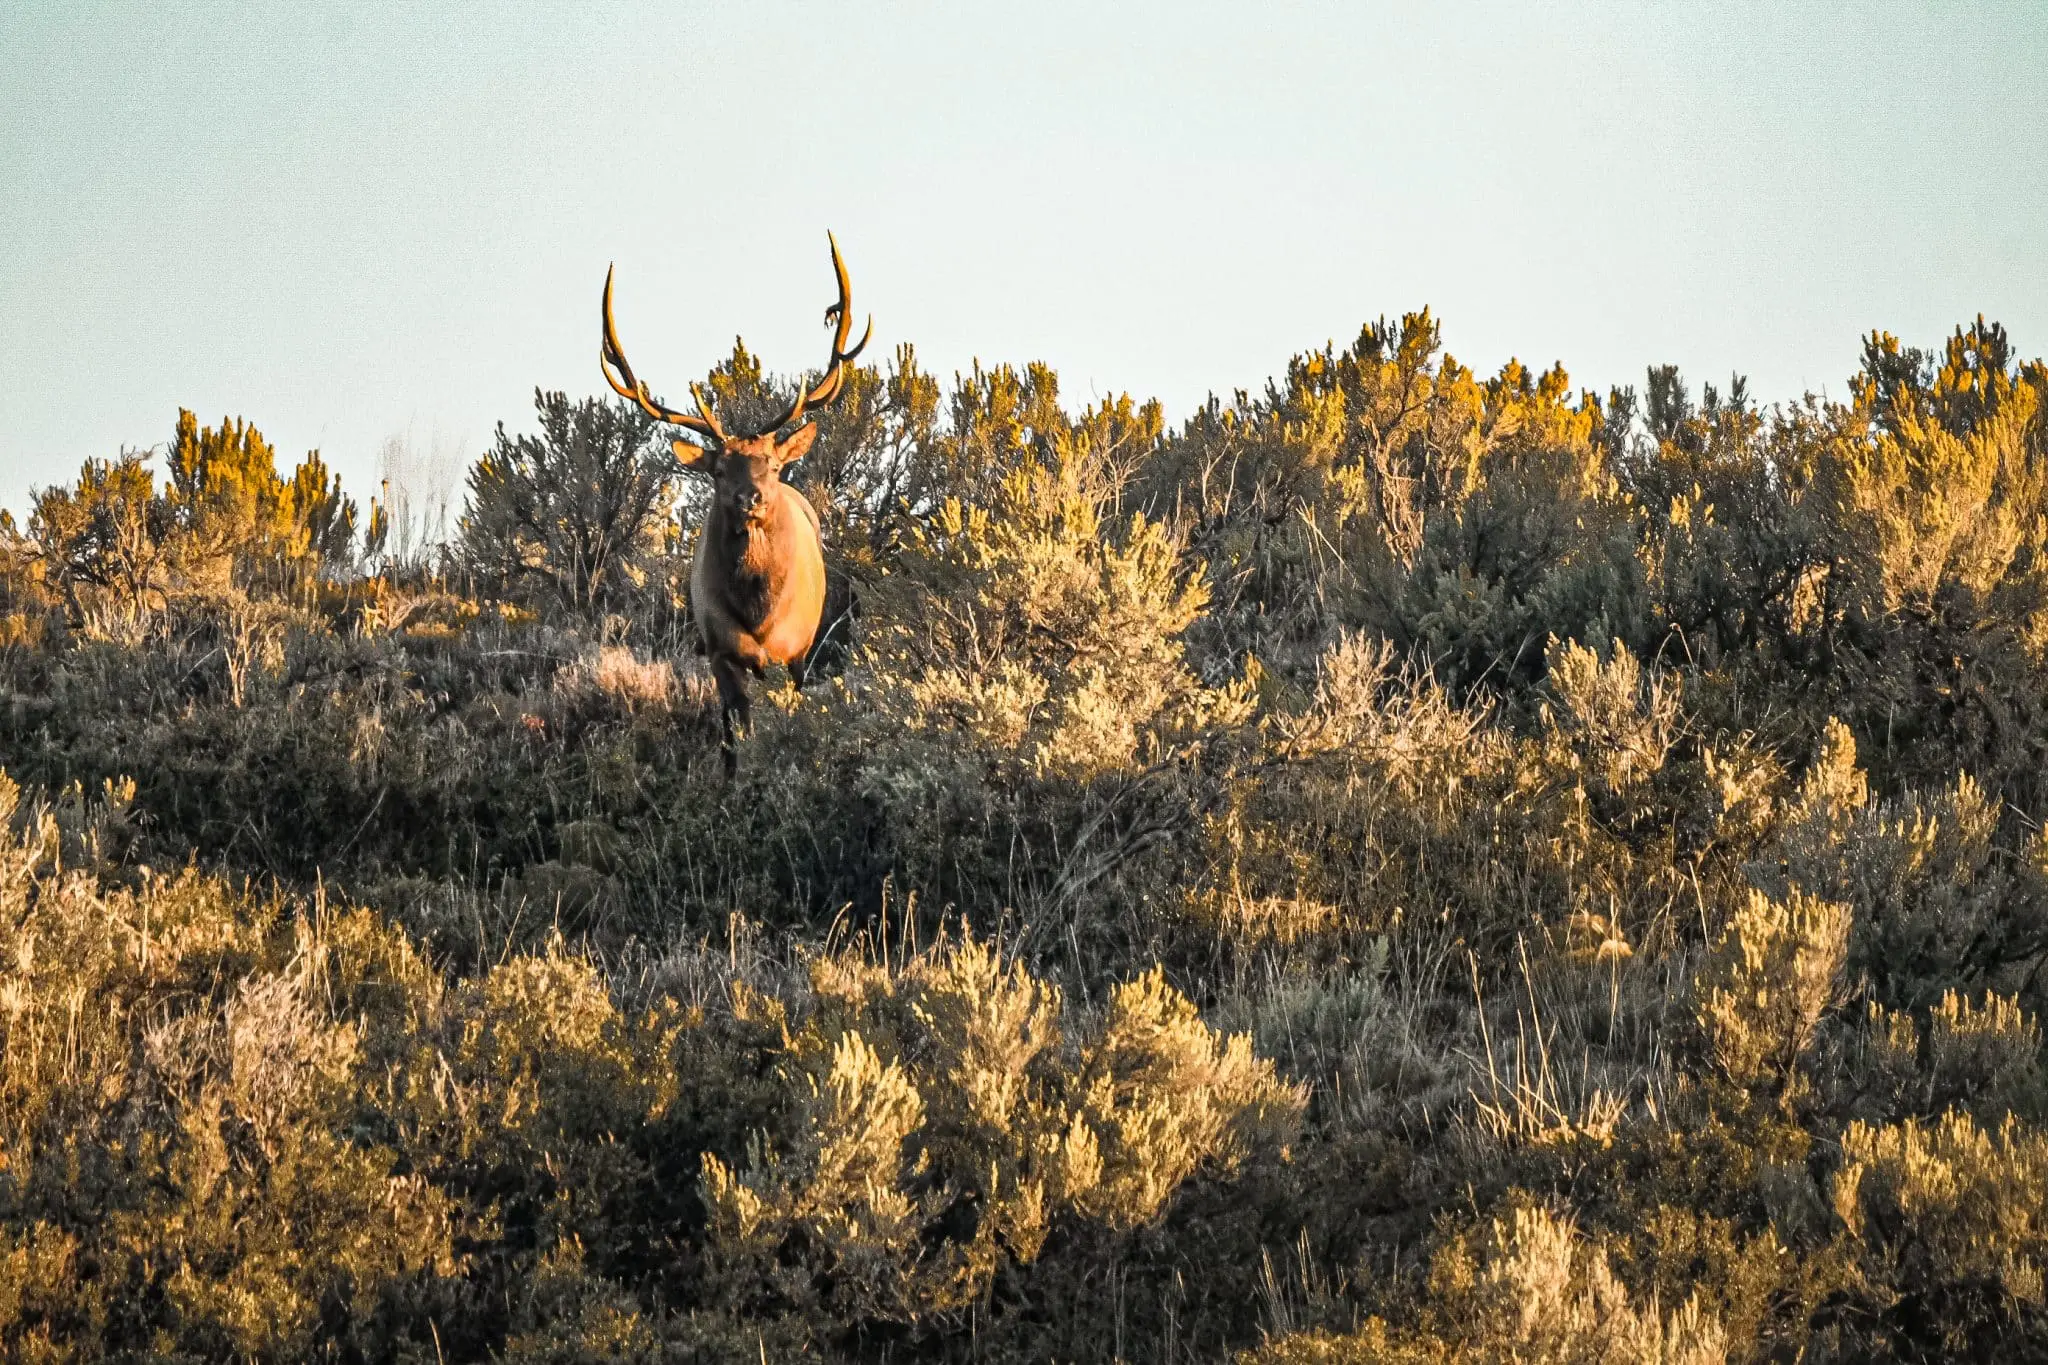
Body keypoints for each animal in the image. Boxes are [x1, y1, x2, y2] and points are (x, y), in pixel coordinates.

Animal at [598, 229, 872, 773]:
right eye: (719, 470)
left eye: (772, 463)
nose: (752, 497)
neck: (759, 613)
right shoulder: (720, 648)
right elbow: (736, 731)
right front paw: (736, 779)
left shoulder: (797, 650)